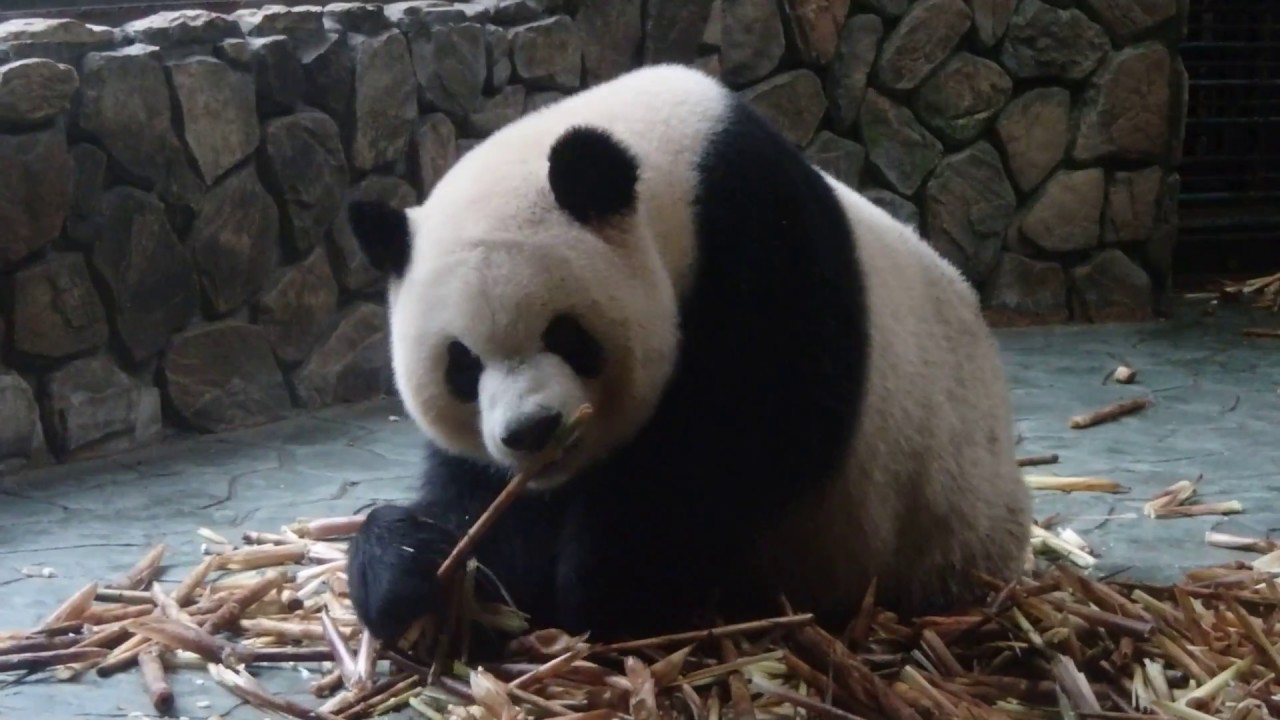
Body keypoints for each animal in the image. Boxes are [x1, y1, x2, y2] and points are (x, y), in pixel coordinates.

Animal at [344, 63, 1032, 653]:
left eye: (566, 336)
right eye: (462, 365)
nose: (532, 431)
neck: (675, 182)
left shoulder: (764, 257)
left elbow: (737, 445)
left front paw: (608, 590)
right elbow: (482, 500)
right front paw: (415, 571)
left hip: (944, 523)